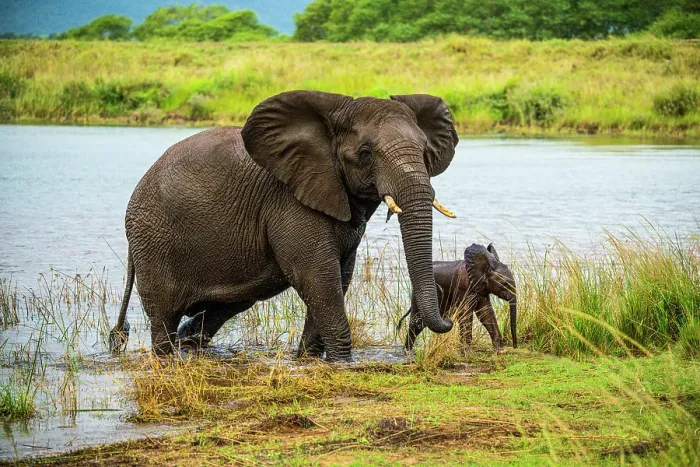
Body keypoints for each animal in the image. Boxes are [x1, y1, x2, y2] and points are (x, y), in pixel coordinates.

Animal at [109, 90, 459, 362]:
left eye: (425, 150)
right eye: (365, 153)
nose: (447, 321)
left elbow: (339, 275)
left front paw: (309, 360)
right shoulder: (289, 202)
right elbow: (317, 275)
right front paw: (343, 363)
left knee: (226, 306)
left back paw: (189, 345)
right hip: (153, 240)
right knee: (163, 315)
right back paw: (169, 357)